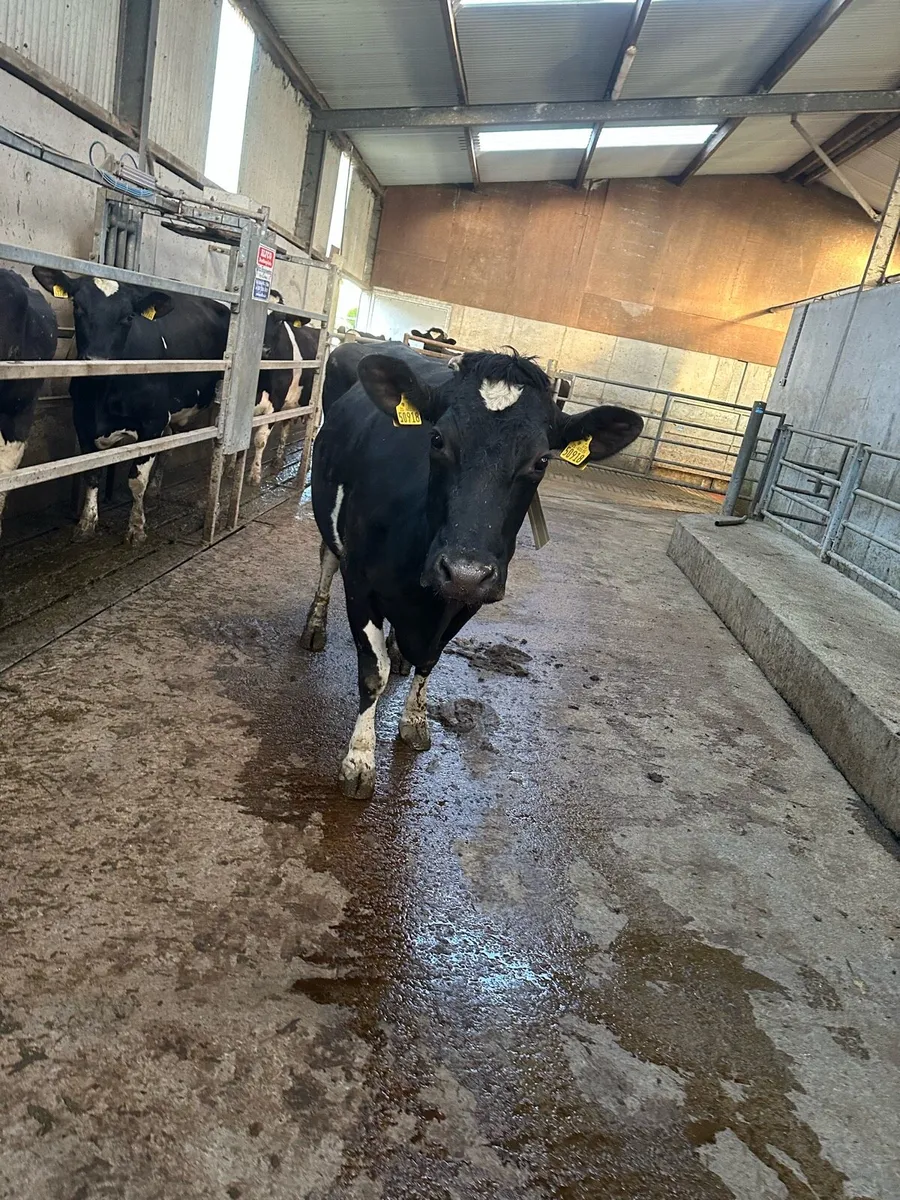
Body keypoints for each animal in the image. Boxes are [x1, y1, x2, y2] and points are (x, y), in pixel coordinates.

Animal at [33, 267, 229, 544]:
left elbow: (136, 480)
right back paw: (156, 490)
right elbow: (91, 473)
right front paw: (86, 524)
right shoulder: (81, 418)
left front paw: (136, 528)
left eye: (128, 317)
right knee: (170, 445)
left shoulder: (153, 422)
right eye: (78, 306)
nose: (97, 361)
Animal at [300, 341, 643, 799]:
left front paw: (415, 720)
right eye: (437, 439)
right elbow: (373, 673)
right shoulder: (361, 583)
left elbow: (430, 660)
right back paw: (315, 627)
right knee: (327, 558)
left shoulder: (471, 599)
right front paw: (359, 761)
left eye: (541, 461)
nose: (462, 570)